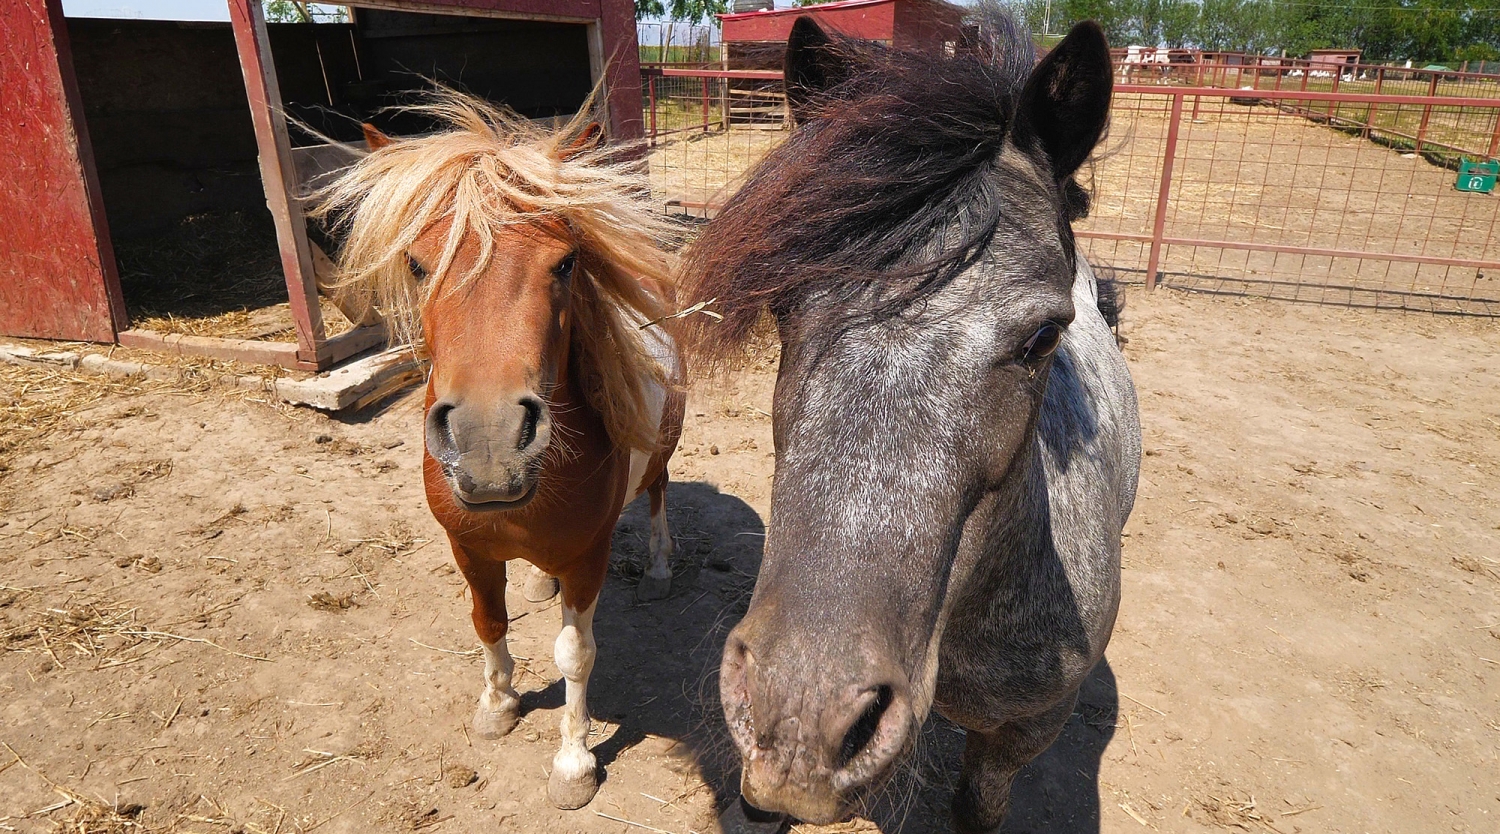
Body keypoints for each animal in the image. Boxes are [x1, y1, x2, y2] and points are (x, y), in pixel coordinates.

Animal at [322, 94, 690, 810]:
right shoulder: (468, 549)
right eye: (417, 263)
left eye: (566, 262)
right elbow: (487, 622)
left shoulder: (588, 557)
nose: (489, 446)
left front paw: (573, 764)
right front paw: (497, 705)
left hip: (661, 451)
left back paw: (660, 568)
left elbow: (575, 654)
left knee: (658, 496)